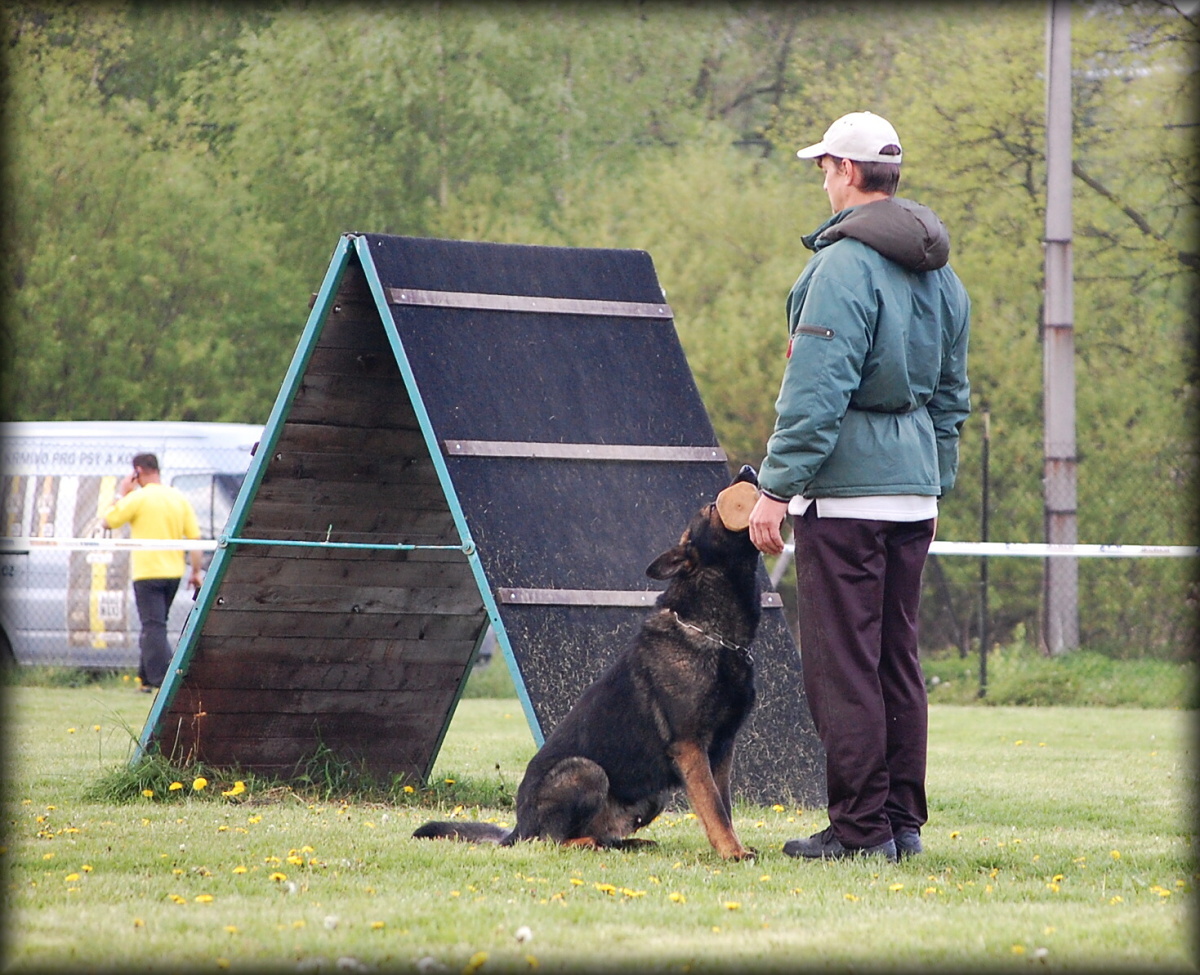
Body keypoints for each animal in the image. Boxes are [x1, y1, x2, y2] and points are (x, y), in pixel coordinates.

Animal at [412, 468, 763, 854]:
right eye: (713, 506)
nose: (748, 470)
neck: (713, 633)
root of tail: (517, 828)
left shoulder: (721, 750)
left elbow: (723, 807)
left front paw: (733, 847)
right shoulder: (690, 746)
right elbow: (714, 806)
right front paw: (733, 853)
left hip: (653, 796)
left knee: (600, 835)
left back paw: (629, 843)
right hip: (586, 771)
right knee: (553, 841)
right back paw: (591, 843)